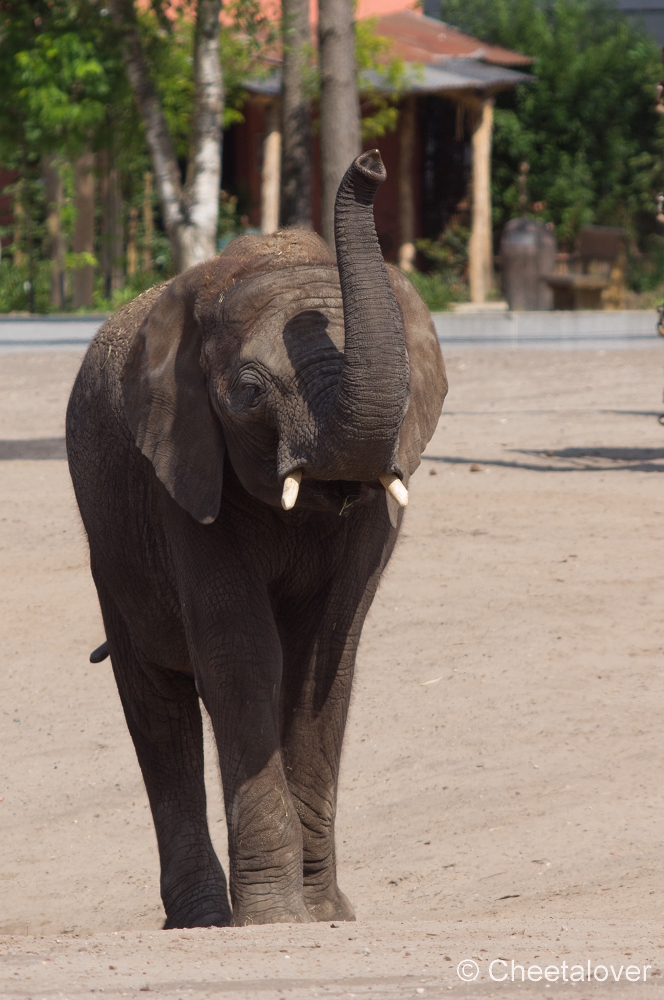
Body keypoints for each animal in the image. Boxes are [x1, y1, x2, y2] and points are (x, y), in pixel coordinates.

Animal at [67, 150, 446, 928]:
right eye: (248, 392)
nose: (370, 163)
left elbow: (323, 660)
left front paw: (326, 915)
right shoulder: (180, 477)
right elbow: (242, 655)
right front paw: (273, 918)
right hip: (113, 548)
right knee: (157, 705)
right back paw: (202, 918)